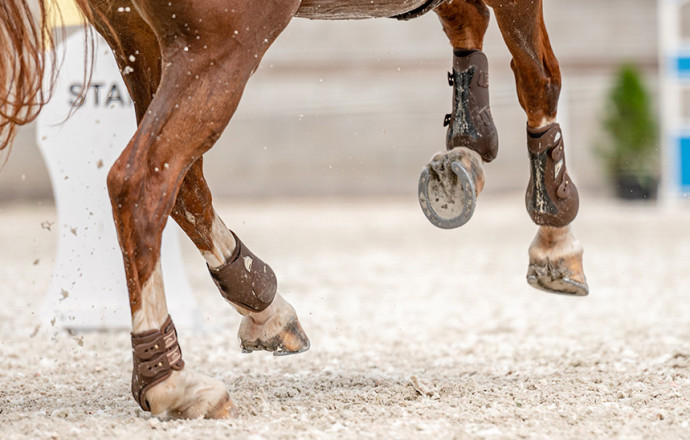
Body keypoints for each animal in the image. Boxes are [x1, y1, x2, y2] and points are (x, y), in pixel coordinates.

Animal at [2, 0, 588, 419]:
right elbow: (539, 76)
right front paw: (555, 234)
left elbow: (470, 24)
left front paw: (465, 152)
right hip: (216, 48)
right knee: (142, 182)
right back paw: (170, 382)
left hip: (140, 40)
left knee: (183, 182)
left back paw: (260, 302)